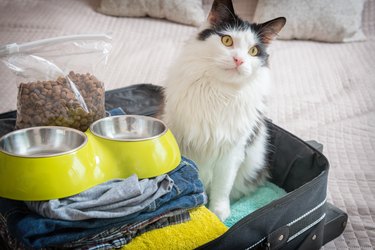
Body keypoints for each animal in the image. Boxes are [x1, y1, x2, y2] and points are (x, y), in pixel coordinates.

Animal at [163, 0, 286, 221]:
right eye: (227, 41)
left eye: (253, 51)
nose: (239, 60)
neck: (219, 91)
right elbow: (193, 180)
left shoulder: (231, 151)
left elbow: (222, 187)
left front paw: (218, 214)